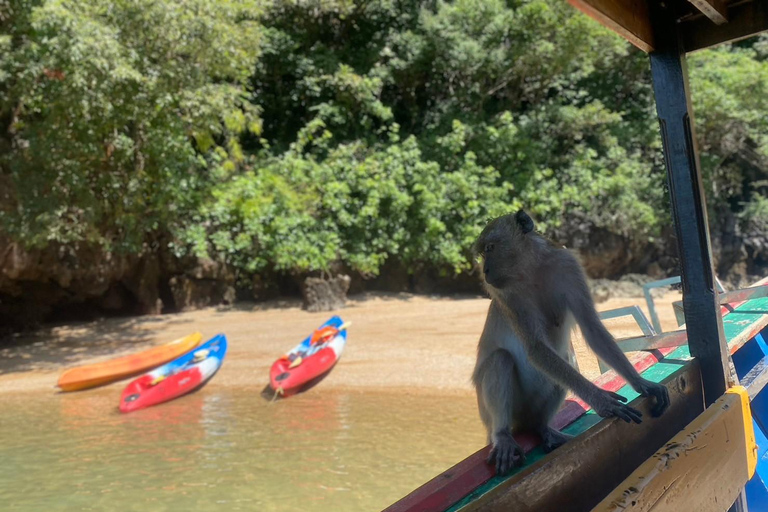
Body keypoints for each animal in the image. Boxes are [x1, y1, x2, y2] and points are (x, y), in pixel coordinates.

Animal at [472, 210, 668, 474]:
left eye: (490, 248)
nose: (484, 271)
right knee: (501, 359)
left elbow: (592, 328)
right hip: (495, 414)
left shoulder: (568, 266)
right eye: (484, 252)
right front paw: (600, 400)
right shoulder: (507, 295)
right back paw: (503, 435)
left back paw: (542, 427)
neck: (532, 269)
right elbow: (536, 348)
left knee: (564, 361)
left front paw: (640, 383)